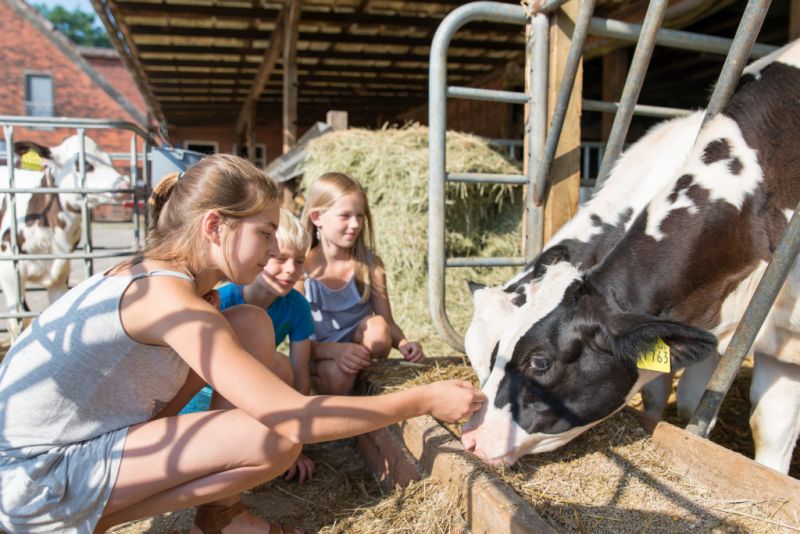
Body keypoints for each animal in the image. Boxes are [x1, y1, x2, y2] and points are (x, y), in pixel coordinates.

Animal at [0, 136, 127, 342]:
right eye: (82, 164)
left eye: (110, 160)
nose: (124, 186)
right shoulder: (9, 270)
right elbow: (17, 322)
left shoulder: (60, 273)